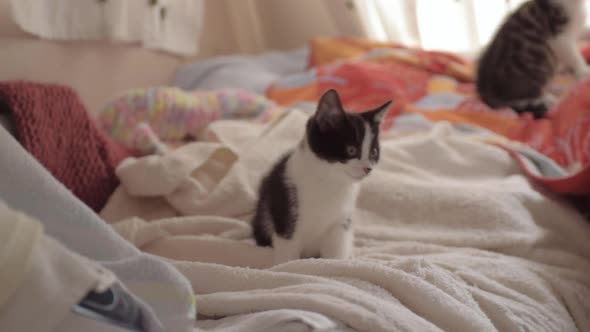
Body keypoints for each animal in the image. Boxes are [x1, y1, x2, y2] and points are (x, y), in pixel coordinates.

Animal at [251, 88, 394, 264]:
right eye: (351, 150)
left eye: (373, 153)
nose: (368, 168)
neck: (329, 181)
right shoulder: (285, 208)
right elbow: (288, 250)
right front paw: (285, 267)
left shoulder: (341, 221)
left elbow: (336, 249)